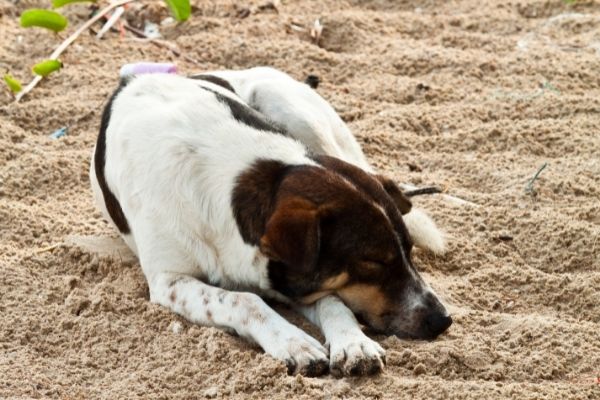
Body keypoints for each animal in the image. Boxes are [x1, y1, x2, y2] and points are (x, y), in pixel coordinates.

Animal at [90, 66, 450, 378]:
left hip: (295, 111)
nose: (443, 320)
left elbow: (333, 302)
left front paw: (353, 342)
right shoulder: (169, 281)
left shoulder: (293, 277)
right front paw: (292, 341)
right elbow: (245, 300)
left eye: (409, 253)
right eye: (373, 263)